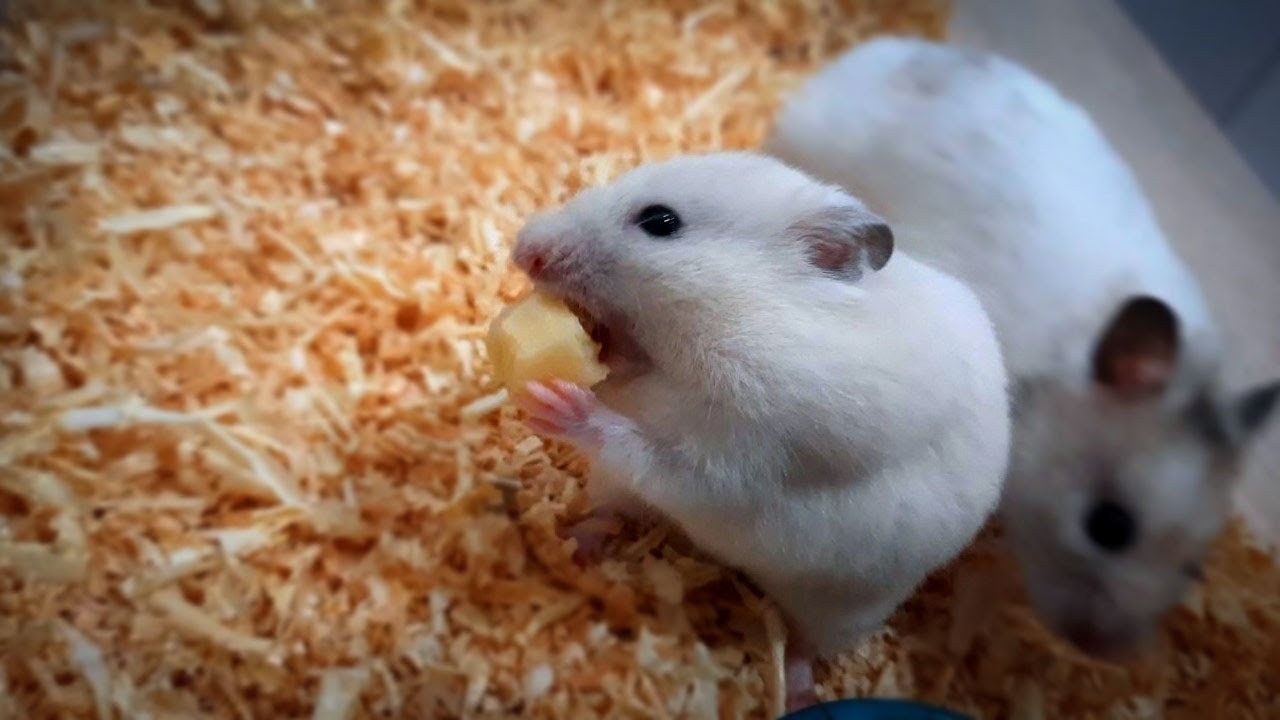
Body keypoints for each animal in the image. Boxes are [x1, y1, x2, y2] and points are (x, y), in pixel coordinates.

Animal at [508, 152, 1010, 709]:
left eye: (660, 221)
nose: (522, 249)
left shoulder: (736, 464)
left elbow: (647, 450)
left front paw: (556, 404)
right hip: (614, 488)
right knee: (607, 511)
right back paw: (564, 541)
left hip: (848, 604)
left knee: (809, 642)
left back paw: (798, 691)